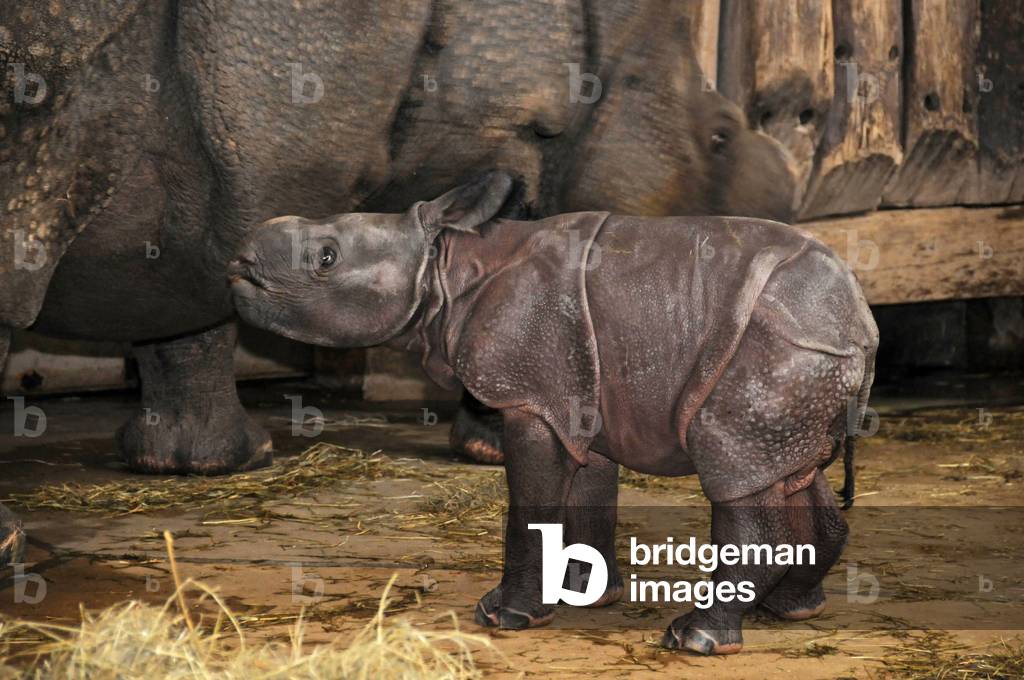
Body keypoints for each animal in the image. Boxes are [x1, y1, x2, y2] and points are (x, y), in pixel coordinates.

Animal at [0, 0, 795, 567]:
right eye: (720, 137)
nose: (783, 208)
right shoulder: (498, 122)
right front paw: (501, 447)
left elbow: (188, 305)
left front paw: (204, 465)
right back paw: (12, 551)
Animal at [229, 171, 878, 655]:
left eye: (326, 258)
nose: (239, 261)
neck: (445, 266)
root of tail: (860, 321)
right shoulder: (582, 398)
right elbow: (588, 496)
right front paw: (585, 593)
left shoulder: (530, 398)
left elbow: (531, 507)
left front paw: (508, 616)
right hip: (799, 359)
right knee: (788, 468)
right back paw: (789, 609)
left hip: (773, 348)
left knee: (735, 471)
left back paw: (695, 639)